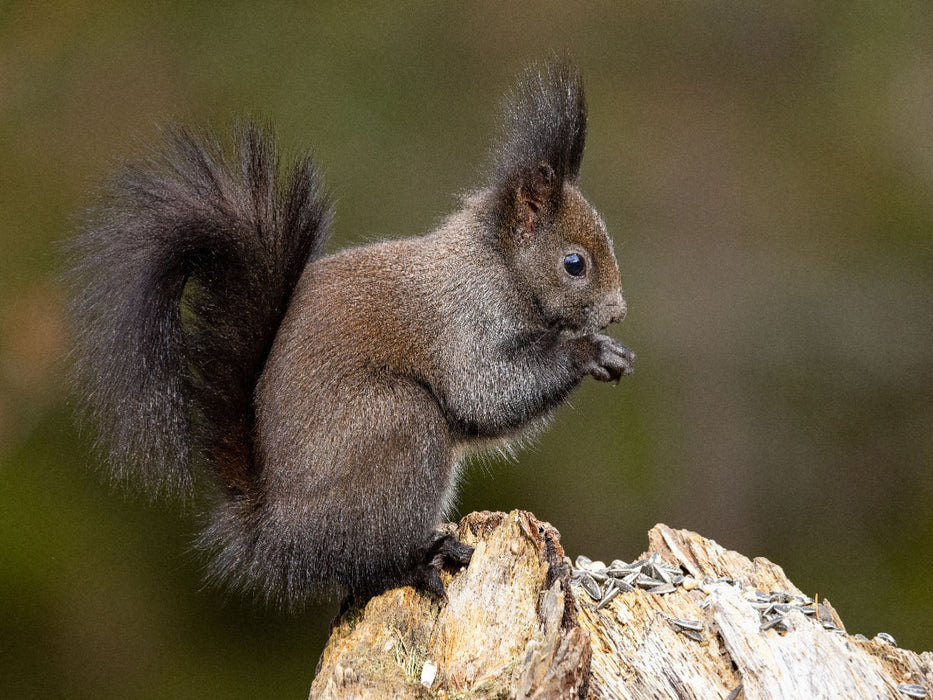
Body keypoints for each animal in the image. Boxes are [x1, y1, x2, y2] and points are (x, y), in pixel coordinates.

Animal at [65, 60, 632, 608]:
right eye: (574, 263)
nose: (618, 313)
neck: (498, 264)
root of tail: (273, 535)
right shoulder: (466, 321)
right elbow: (487, 393)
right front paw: (590, 351)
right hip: (397, 427)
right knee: (365, 564)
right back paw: (420, 561)